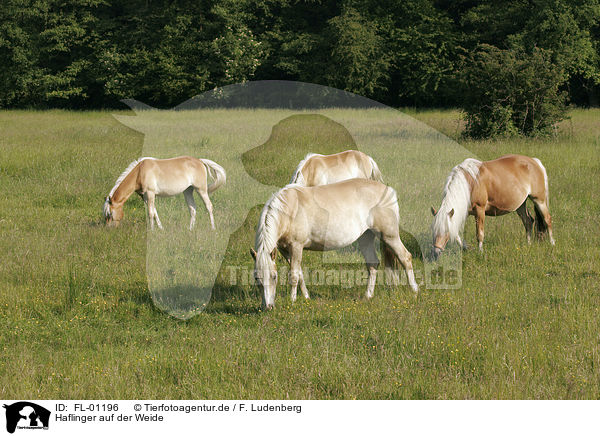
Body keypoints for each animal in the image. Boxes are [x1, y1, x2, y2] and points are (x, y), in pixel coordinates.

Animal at [248, 178, 418, 310]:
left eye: (274, 276)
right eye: (256, 278)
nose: (268, 306)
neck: (290, 209)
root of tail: (388, 190)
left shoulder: (296, 246)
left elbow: (294, 275)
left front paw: (293, 301)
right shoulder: (285, 250)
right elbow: (300, 273)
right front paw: (307, 297)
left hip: (389, 236)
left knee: (405, 258)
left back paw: (415, 290)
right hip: (366, 237)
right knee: (373, 264)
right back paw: (368, 296)